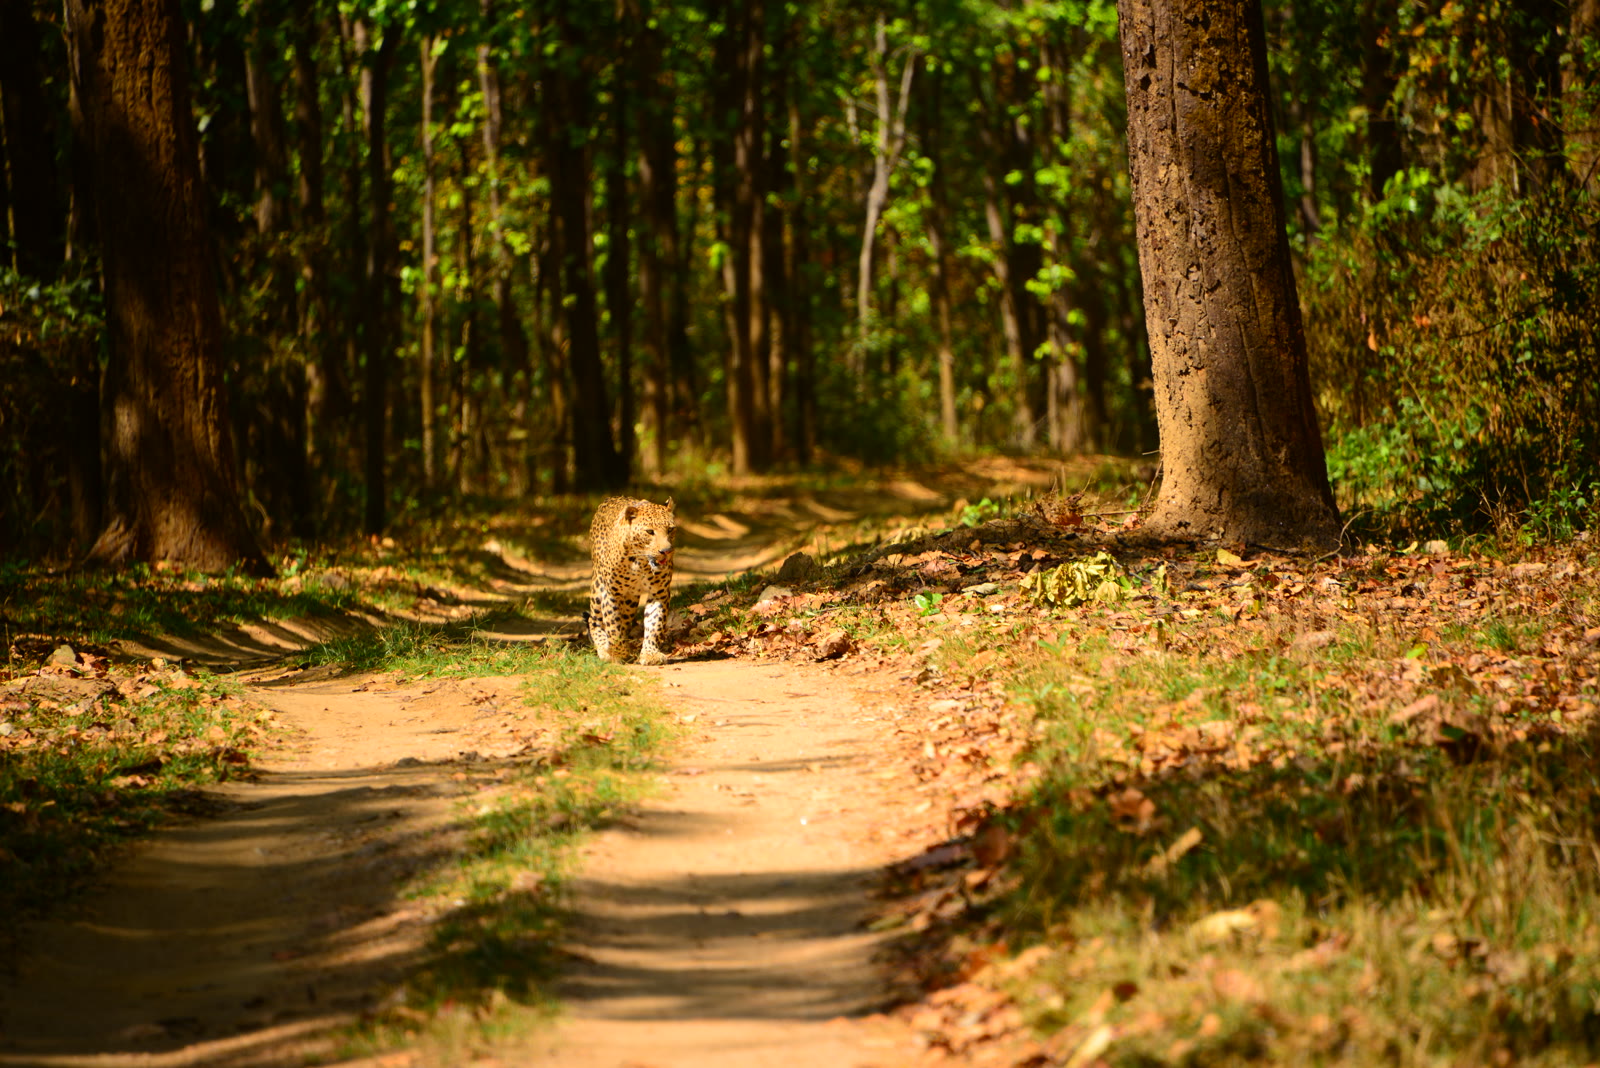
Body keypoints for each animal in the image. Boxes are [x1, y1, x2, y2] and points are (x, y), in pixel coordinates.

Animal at [587, 495, 677, 665]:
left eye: (670, 529)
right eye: (650, 532)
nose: (666, 551)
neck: (641, 563)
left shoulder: (659, 593)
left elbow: (654, 624)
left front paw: (650, 654)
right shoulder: (611, 593)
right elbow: (613, 627)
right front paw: (618, 653)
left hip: (630, 600)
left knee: (624, 620)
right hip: (598, 588)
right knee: (593, 619)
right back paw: (604, 649)